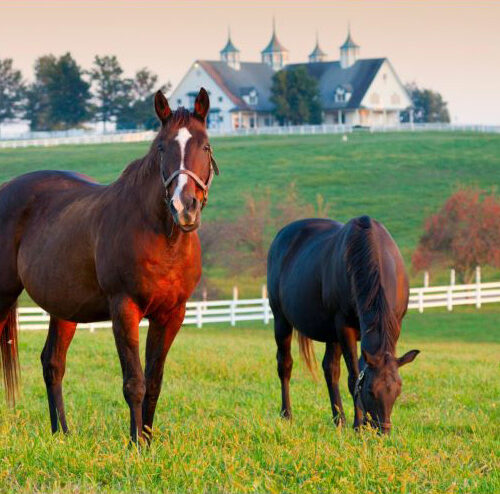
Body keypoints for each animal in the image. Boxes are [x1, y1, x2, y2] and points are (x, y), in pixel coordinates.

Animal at [0, 87, 219, 442]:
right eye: (162, 147)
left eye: (206, 146)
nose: (184, 207)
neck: (163, 238)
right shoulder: (124, 309)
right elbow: (134, 383)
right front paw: (136, 444)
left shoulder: (171, 315)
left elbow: (154, 383)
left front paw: (148, 440)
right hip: (4, 293)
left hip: (64, 309)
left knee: (53, 364)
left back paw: (62, 433)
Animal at [268, 216, 420, 432]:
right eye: (370, 391)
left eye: (398, 390)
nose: (382, 430)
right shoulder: (344, 328)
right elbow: (354, 377)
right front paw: (358, 425)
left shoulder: (394, 326)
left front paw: (361, 422)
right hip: (281, 320)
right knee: (285, 364)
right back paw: (287, 414)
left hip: (331, 334)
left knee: (330, 369)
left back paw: (338, 419)